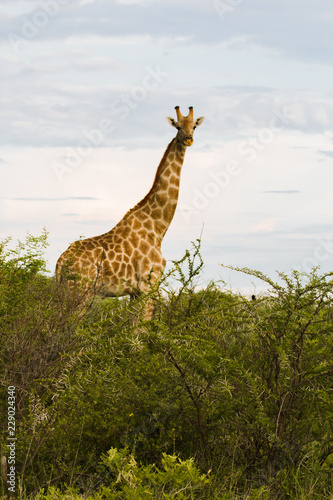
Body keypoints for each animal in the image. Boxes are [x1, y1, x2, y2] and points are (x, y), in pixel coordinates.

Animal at [55, 107, 204, 322]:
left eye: (194, 126)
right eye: (177, 126)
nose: (188, 139)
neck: (158, 226)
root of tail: (61, 261)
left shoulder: (136, 291)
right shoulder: (149, 285)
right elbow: (141, 327)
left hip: (66, 291)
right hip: (80, 292)